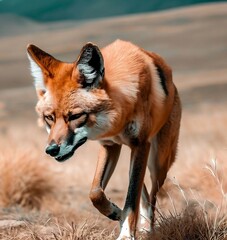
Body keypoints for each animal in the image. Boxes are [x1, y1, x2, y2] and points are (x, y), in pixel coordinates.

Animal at [27, 40, 181, 239]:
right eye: (49, 118)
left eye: (75, 116)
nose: (51, 150)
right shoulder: (109, 145)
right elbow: (95, 193)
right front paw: (114, 212)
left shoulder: (140, 145)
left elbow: (131, 198)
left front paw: (126, 234)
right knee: (143, 191)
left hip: (158, 164)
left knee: (152, 195)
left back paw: (148, 228)